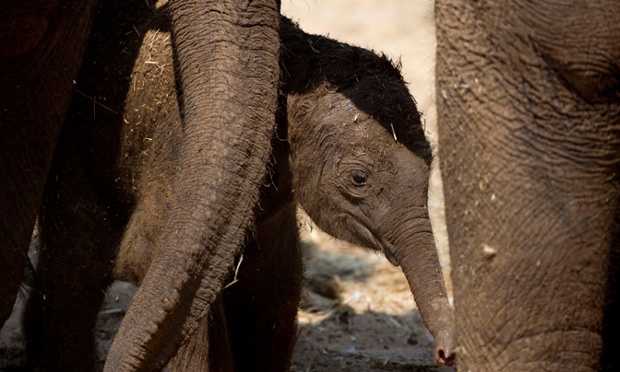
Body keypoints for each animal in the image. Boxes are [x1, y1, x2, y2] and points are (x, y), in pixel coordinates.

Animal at [25, 1, 456, 370]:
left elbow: (273, 284)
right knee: (75, 267)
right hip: (76, 150)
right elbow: (154, 263)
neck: (300, 61)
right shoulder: (176, 146)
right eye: (358, 179)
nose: (445, 354)